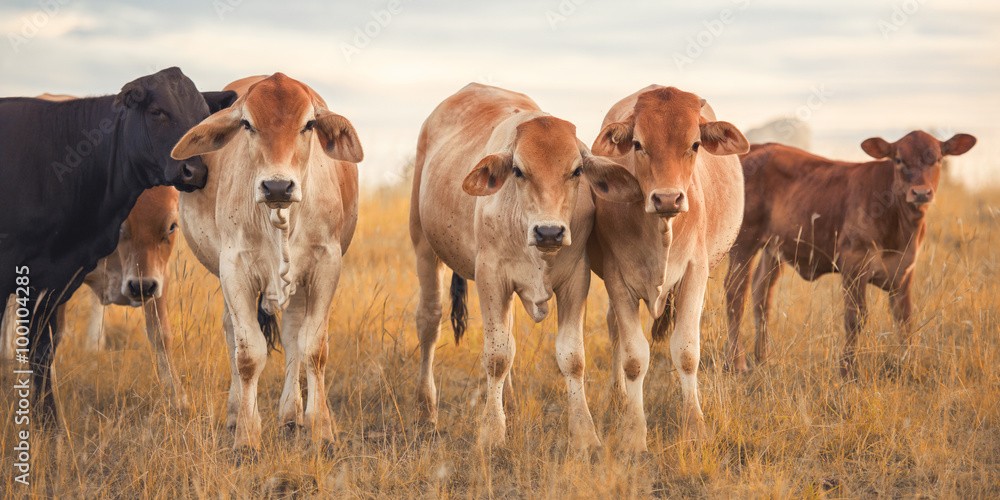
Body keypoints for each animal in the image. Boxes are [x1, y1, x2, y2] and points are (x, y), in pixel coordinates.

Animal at [0, 67, 236, 426]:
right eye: (156, 112)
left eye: (171, 227)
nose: (193, 170)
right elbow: (47, 341)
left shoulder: (156, 275)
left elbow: (161, 334)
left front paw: (178, 399)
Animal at [172, 73, 364, 454]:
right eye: (247, 124)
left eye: (309, 124)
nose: (277, 186)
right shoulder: (233, 268)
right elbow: (248, 354)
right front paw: (247, 439)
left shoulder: (325, 265)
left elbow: (313, 349)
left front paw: (322, 431)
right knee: (232, 333)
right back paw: (236, 415)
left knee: (292, 336)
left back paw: (291, 416)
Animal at [412, 84, 640, 452]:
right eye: (518, 171)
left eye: (577, 170)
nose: (549, 231)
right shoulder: (490, 277)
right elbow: (497, 357)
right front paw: (492, 433)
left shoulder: (576, 279)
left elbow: (571, 357)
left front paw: (584, 434)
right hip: (422, 244)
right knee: (429, 321)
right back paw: (425, 409)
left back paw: (510, 401)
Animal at [588, 84, 748, 452]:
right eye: (637, 144)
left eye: (695, 144)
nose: (667, 199)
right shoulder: (617, 279)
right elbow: (634, 358)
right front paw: (634, 433)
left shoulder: (695, 272)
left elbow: (686, 351)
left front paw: (694, 427)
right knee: (614, 331)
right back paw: (617, 395)